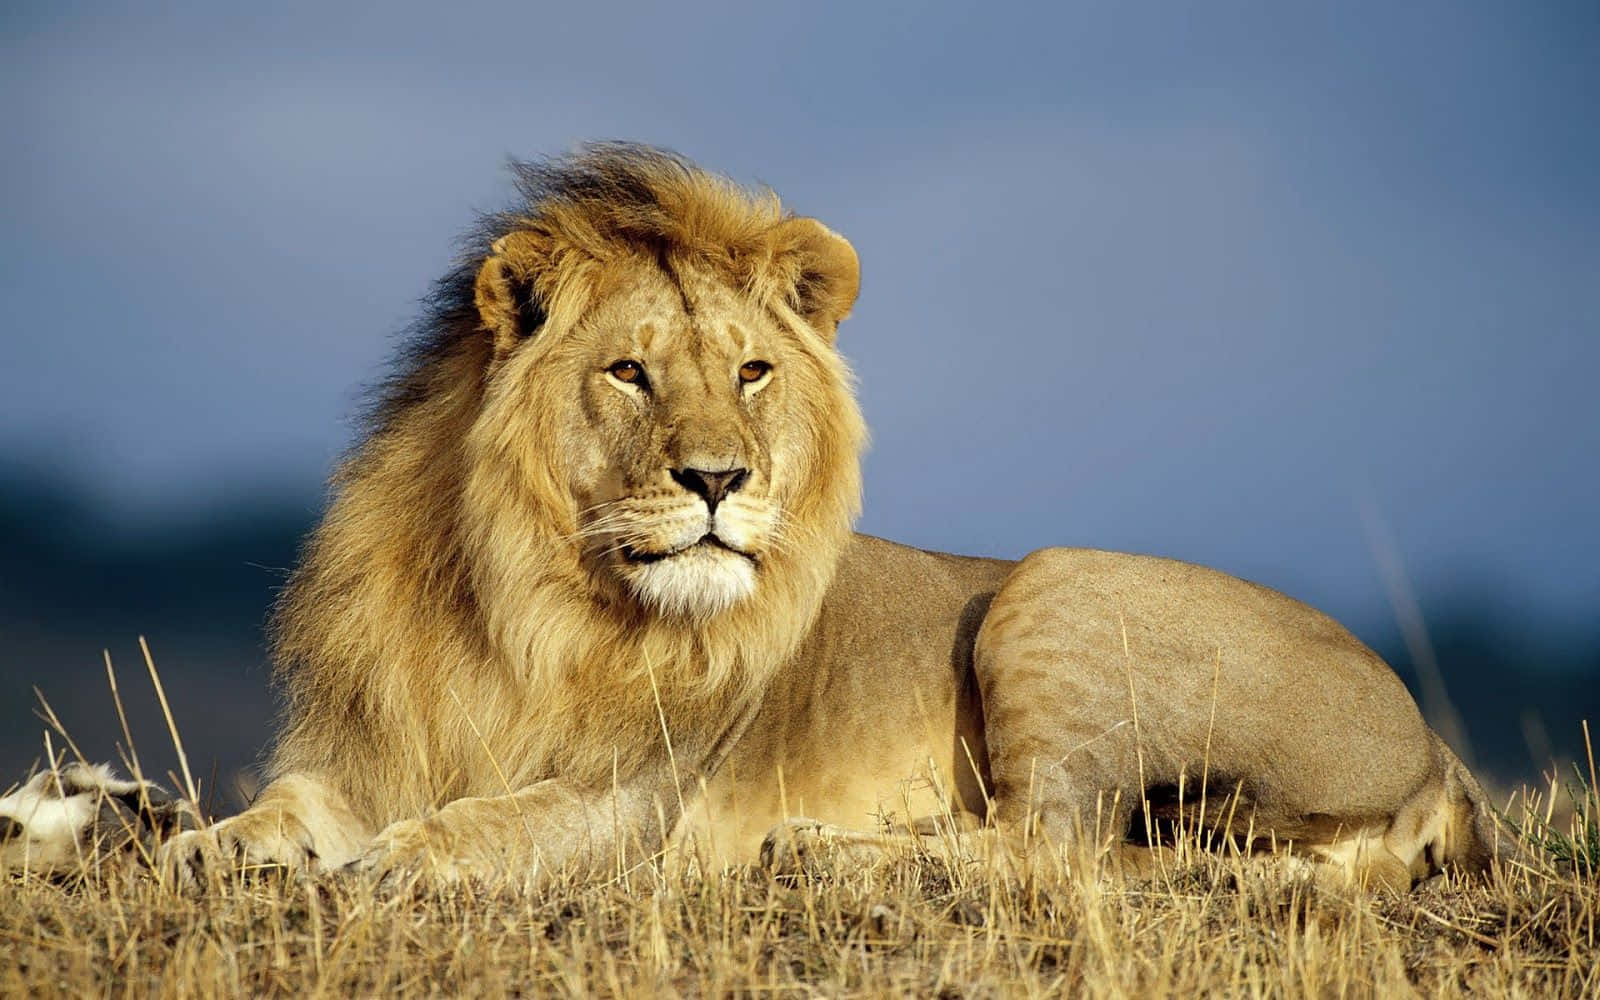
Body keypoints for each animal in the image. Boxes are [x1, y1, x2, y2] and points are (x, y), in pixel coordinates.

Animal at [150, 142, 1497, 889]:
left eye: (750, 372)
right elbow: (284, 806)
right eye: (629, 373)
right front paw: (196, 847)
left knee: (1055, 846)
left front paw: (408, 857)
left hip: (1051, 583)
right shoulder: (366, 748)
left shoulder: (641, 798)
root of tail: (1436, 749)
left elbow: (504, 818)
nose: (717, 480)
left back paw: (816, 851)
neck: (517, 596)